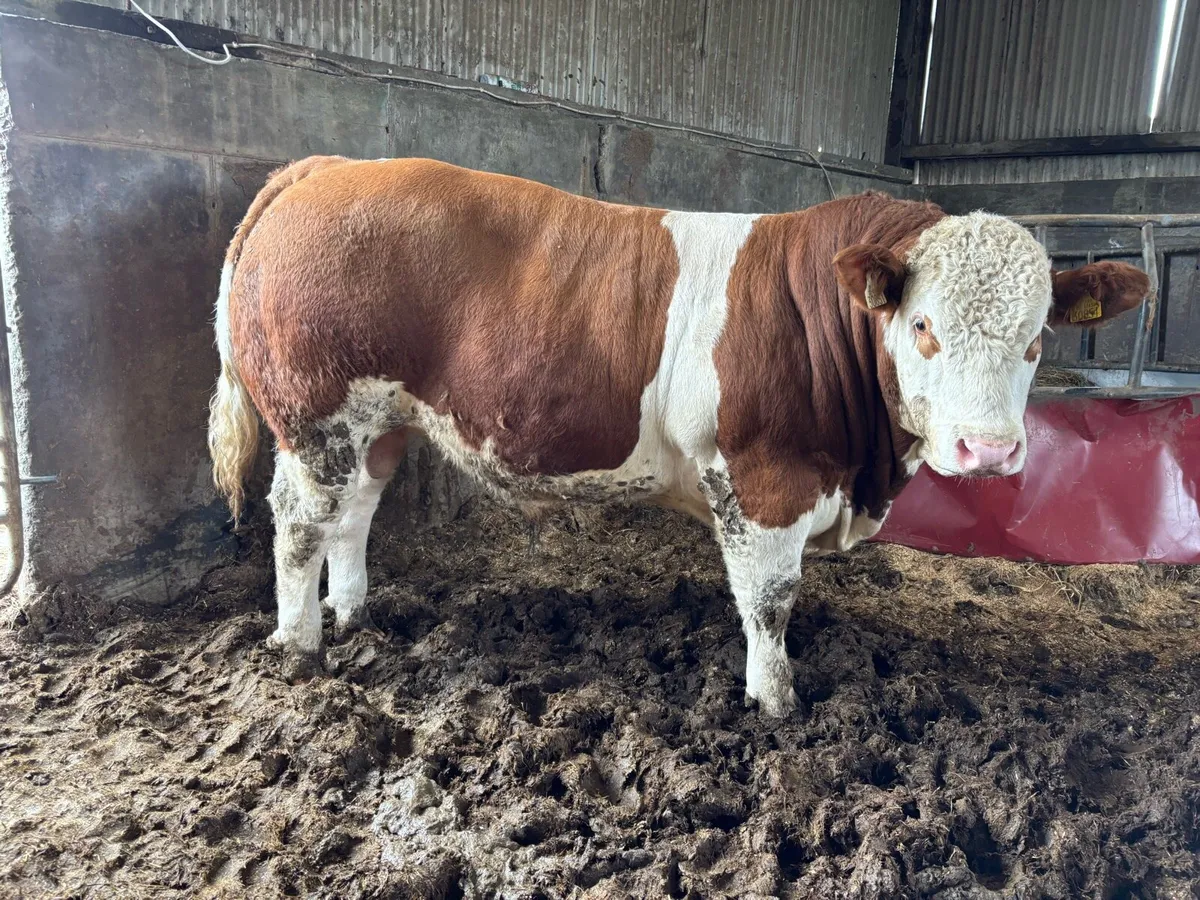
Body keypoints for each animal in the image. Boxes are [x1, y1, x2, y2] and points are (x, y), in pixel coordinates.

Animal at [207, 156, 1149, 716]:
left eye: (1038, 339)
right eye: (923, 327)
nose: (988, 451)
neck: (865, 468)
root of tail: (327, 167)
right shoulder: (766, 482)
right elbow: (769, 601)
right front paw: (775, 701)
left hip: (380, 422)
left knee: (355, 511)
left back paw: (354, 611)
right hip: (316, 414)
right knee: (299, 524)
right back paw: (301, 643)